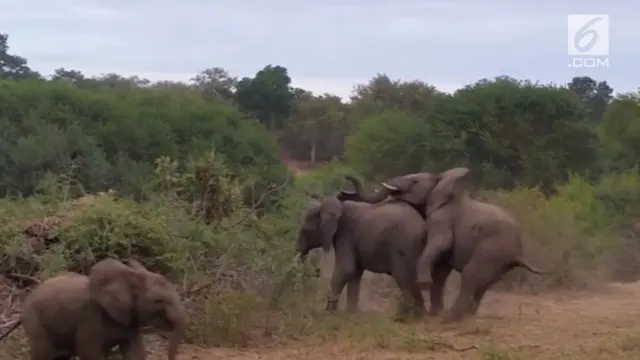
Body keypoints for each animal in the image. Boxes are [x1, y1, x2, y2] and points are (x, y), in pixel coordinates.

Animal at [0, 258, 185, 360]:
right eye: (158, 300)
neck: (128, 276)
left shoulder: (130, 320)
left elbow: (134, 353)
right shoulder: (89, 316)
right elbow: (89, 353)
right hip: (34, 320)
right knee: (43, 354)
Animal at [298, 178, 432, 318]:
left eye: (305, 230)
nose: (317, 271)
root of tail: (424, 226)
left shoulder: (345, 236)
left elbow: (346, 268)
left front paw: (329, 314)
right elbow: (355, 273)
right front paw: (351, 314)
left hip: (405, 247)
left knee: (404, 278)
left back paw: (412, 317)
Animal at [342, 169, 548, 324]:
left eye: (415, 181)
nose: (344, 190)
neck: (441, 181)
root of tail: (519, 251)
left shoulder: (441, 217)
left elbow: (439, 245)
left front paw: (424, 284)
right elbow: (441, 271)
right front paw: (434, 311)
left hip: (494, 248)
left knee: (471, 275)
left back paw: (450, 318)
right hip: (502, 261)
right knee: (483, 282)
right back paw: (466, 315)